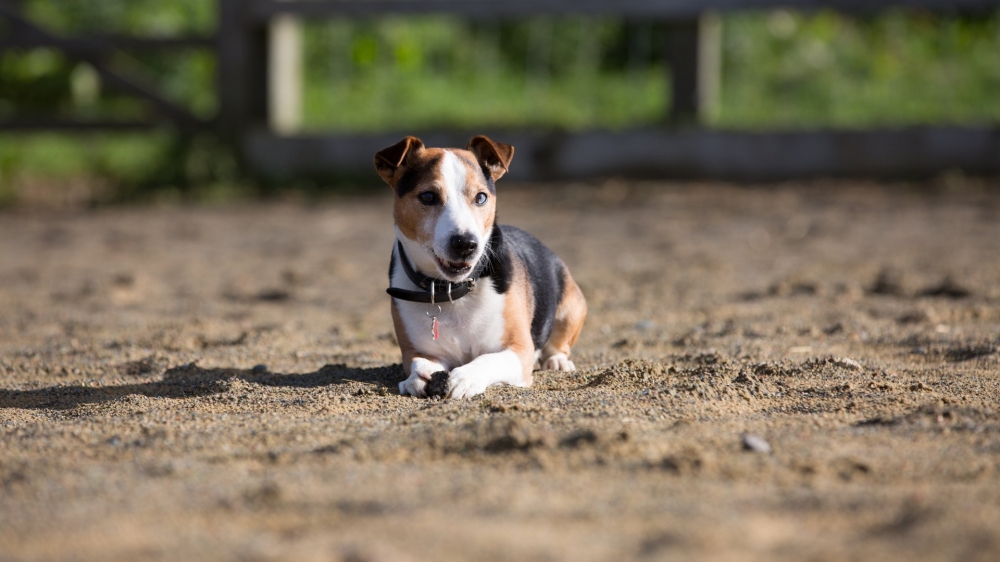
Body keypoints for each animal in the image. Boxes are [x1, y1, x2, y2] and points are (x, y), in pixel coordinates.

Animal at [374, 135, 584, 398]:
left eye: (481, 197)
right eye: (428, 197)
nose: (466, 244)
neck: (452, 289)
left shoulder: (518, 350)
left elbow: (487, 359)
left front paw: (464, 377)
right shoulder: (417, 352)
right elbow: (419, 364)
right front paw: (416, 378)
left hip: (571, 307)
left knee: (558, 343)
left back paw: (557, 361)